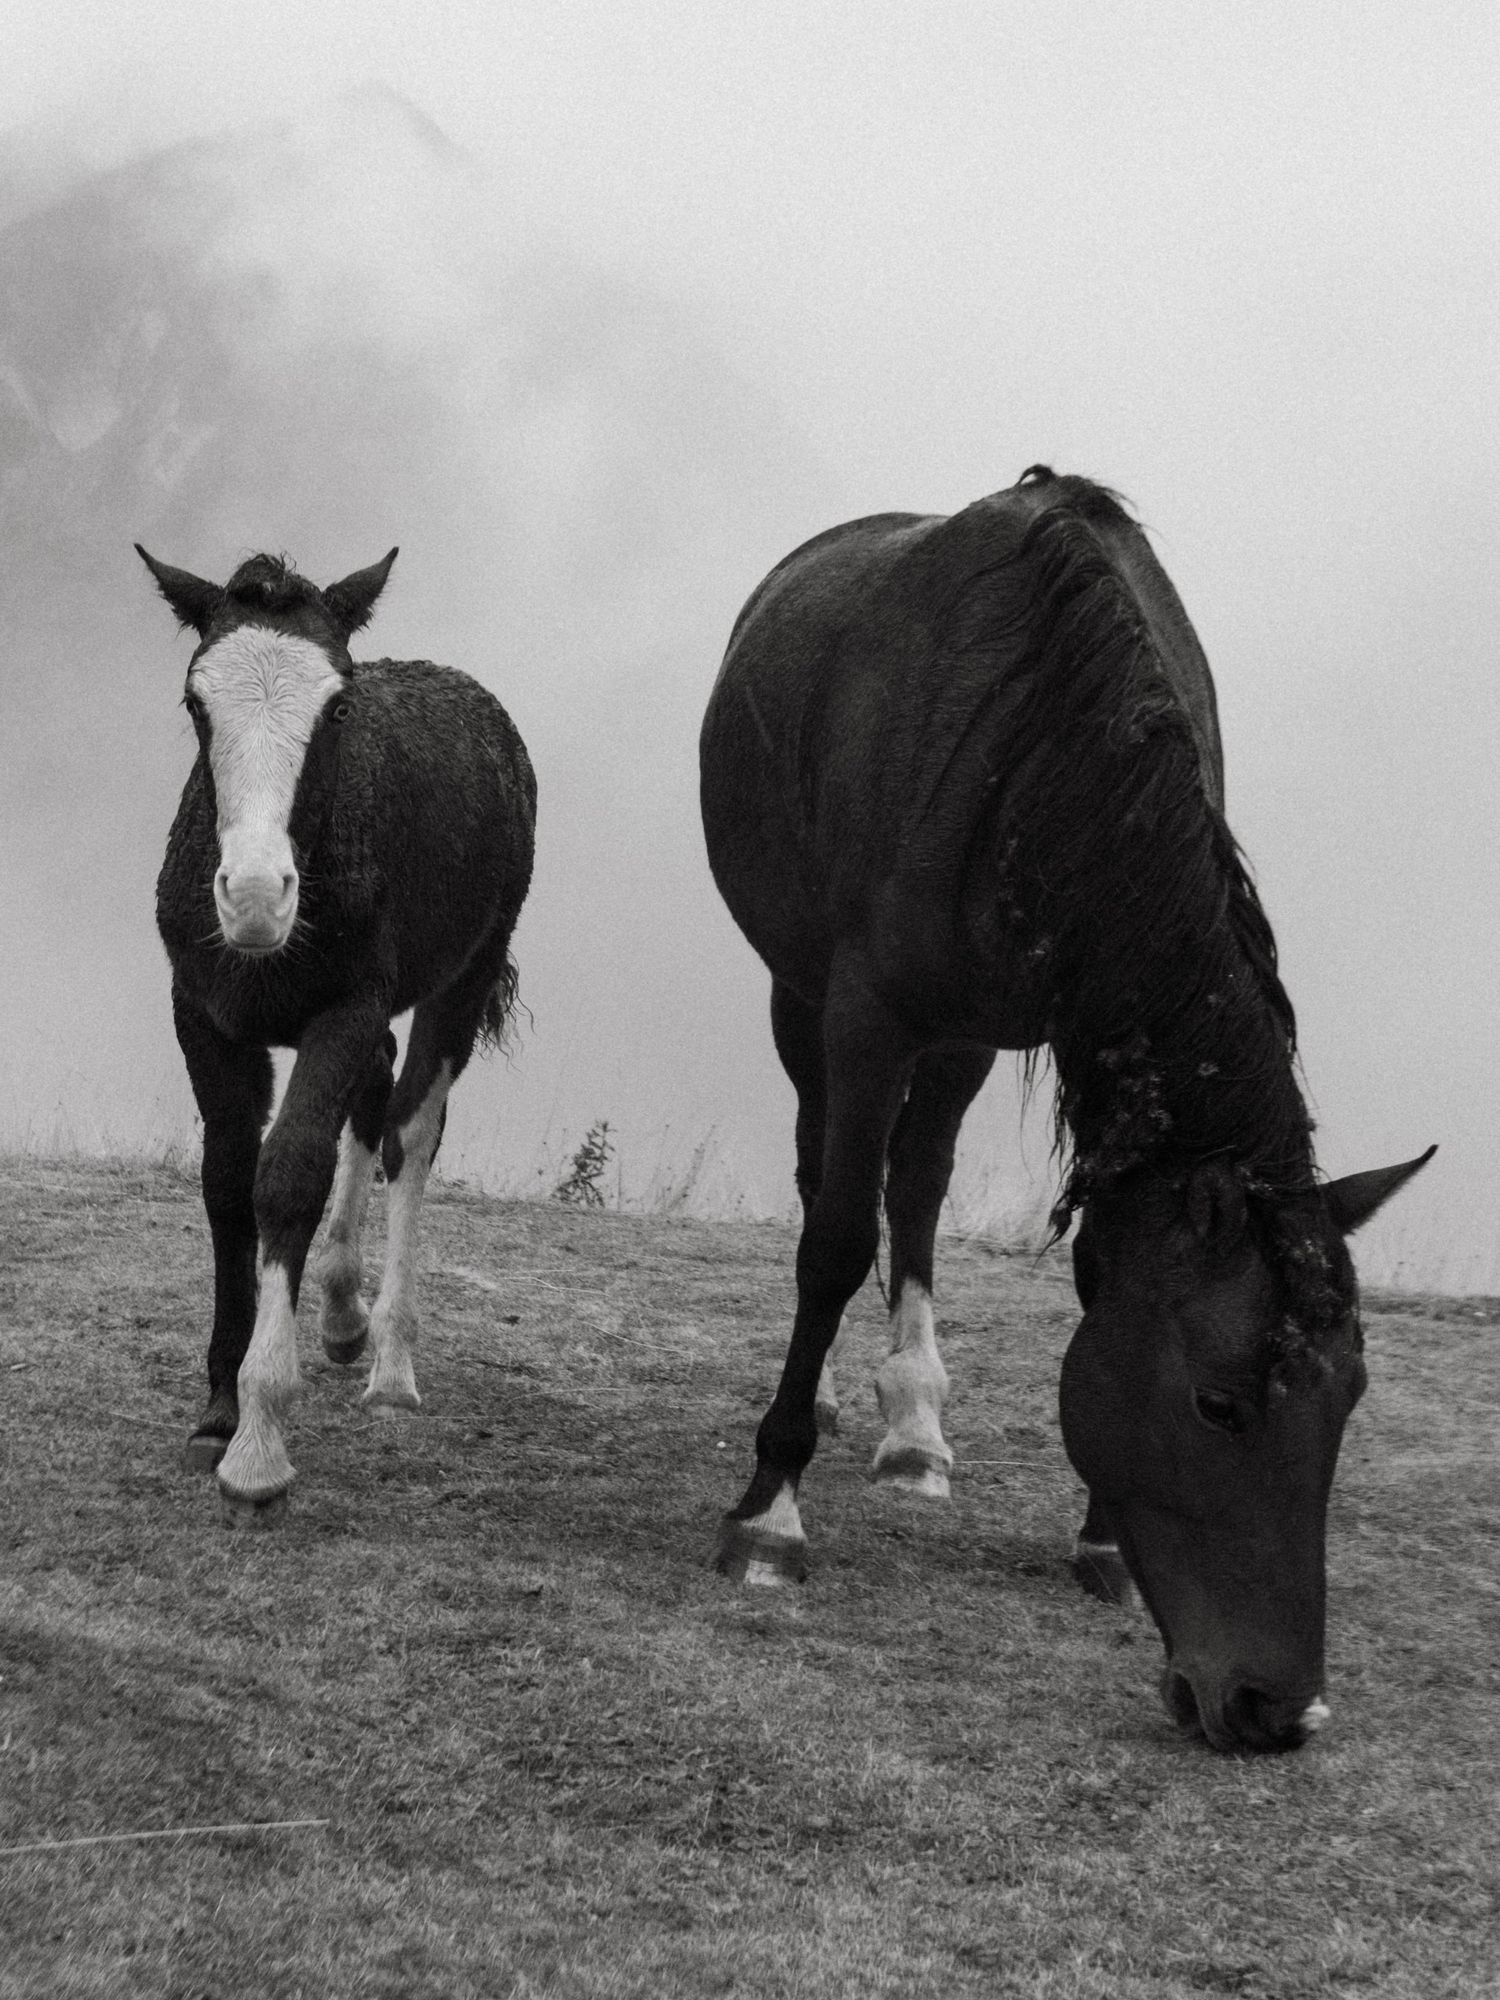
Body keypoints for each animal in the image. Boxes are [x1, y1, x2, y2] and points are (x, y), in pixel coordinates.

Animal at [140, 545, 536, 1525]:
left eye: (339, 707)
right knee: (377, 1092)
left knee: (411, 1129)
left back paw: (389, 1359)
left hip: (466, 974)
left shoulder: (349, 1006)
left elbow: (288, 1175)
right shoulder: (201, 1012)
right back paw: (343, 1310)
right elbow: (226, 1179)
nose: (253, 894)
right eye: (195, 703)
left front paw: (258, 1438)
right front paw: (218, 1409)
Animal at [698, 467, 1433, 1752]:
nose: (1276, 1707)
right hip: (803, 989)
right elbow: (830, 1240)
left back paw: (917, 1429)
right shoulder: (862, 1009)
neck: (1050, 743)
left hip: (963, 1035)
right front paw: (772, 1512)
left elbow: (1095, 1271)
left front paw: (1100, 1539)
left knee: (918, 1176)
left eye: (1348, 1402)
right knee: (825, 1174)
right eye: (1219, 1405)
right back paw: (833, 1399)